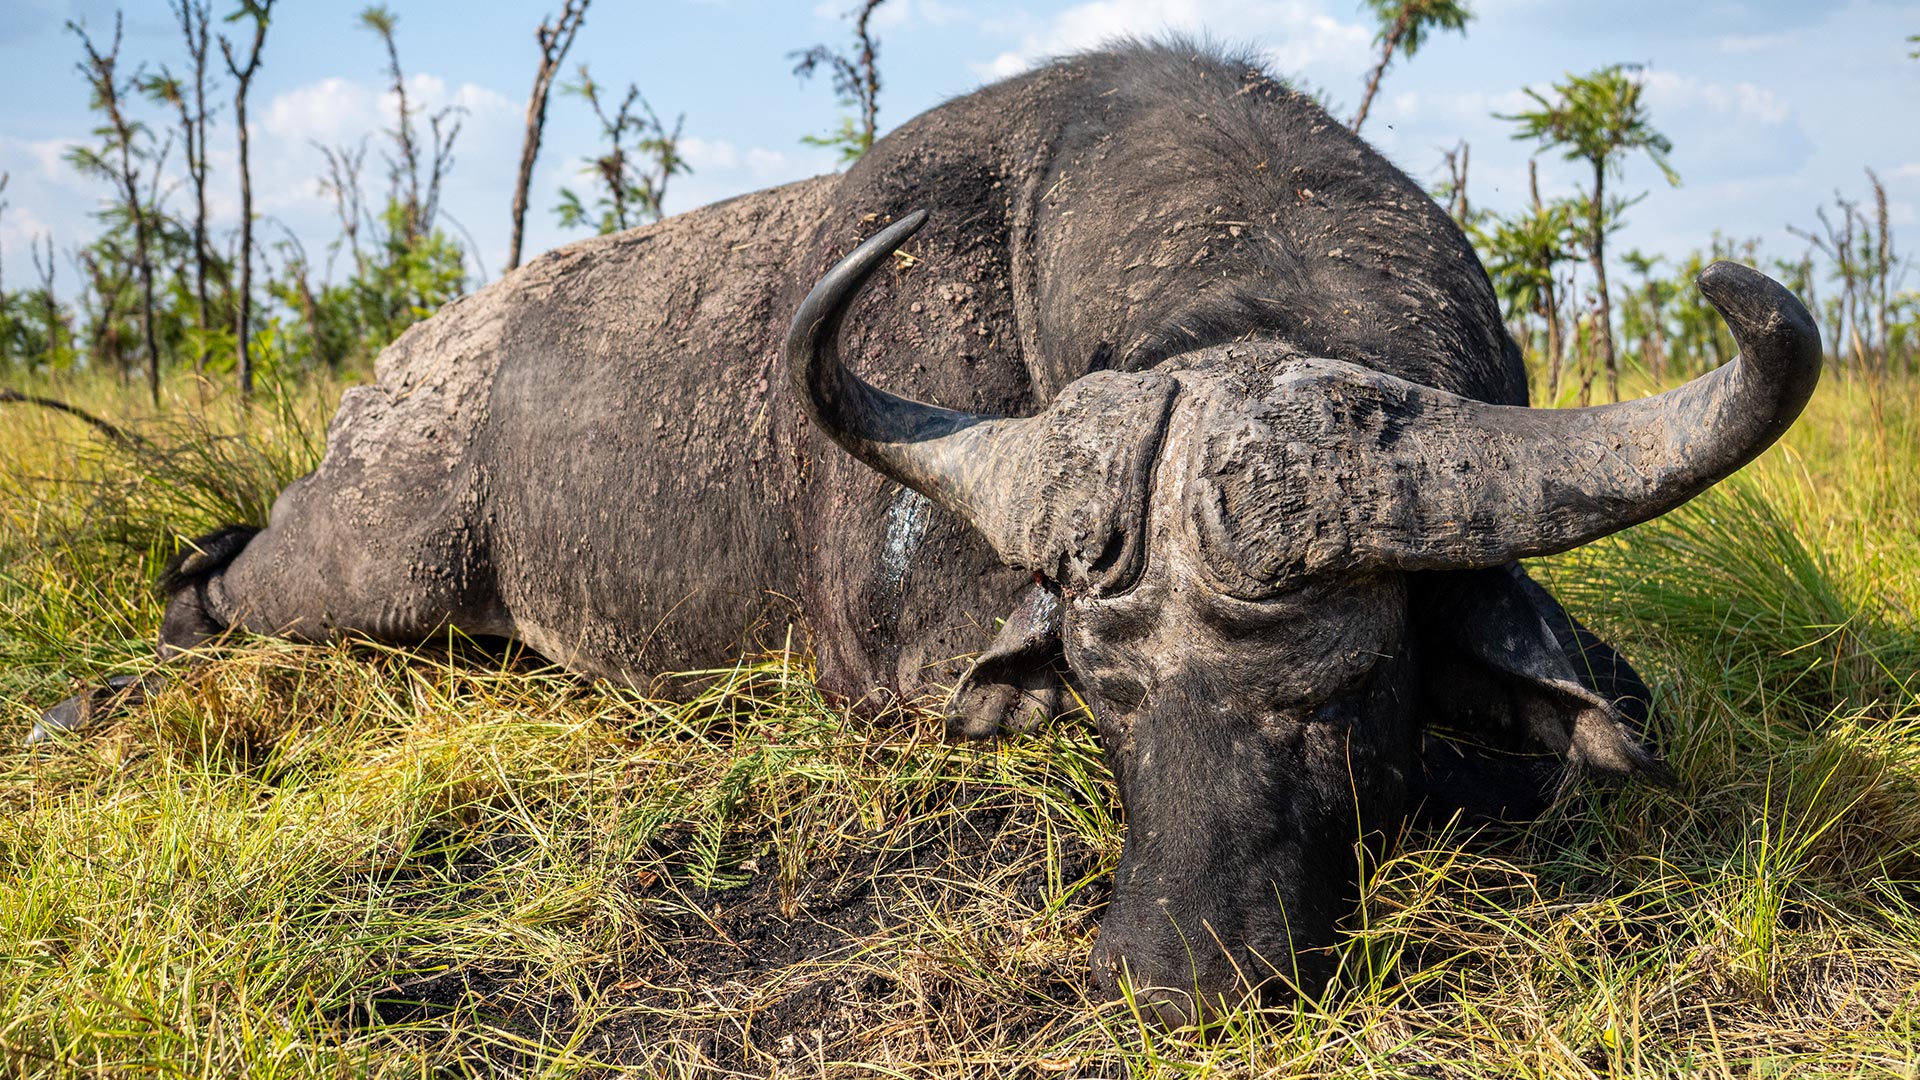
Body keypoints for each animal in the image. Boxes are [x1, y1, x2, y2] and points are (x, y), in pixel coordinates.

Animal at [38, 42, 1820, 1022]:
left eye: (1344, 693)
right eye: (1105, 702)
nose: (1169, 976)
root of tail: (401, 374)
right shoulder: (904, 664)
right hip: (369, 563)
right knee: (207, 590)